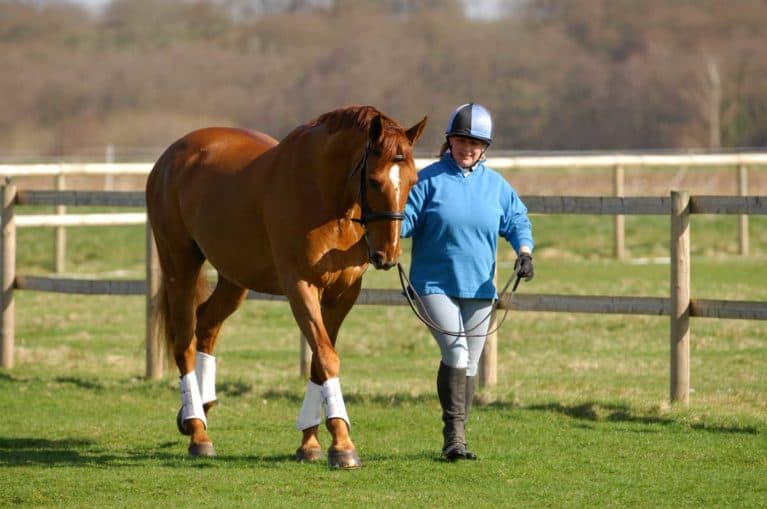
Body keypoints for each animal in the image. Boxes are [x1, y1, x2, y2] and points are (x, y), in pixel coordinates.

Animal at [147, 105, 428, 466]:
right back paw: (197, 430)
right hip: (179, 266)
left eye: (412, 181)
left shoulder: (342, 295)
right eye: (375, 180)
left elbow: (319, 362)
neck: (325, 195)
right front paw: (342, 444)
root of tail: (171, 156)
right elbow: (326, 357)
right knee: (184, 342)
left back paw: (198, 410)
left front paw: (310, 442)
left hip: (235, 278)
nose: (388, 255)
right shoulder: (301, 287)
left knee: (207, 324)